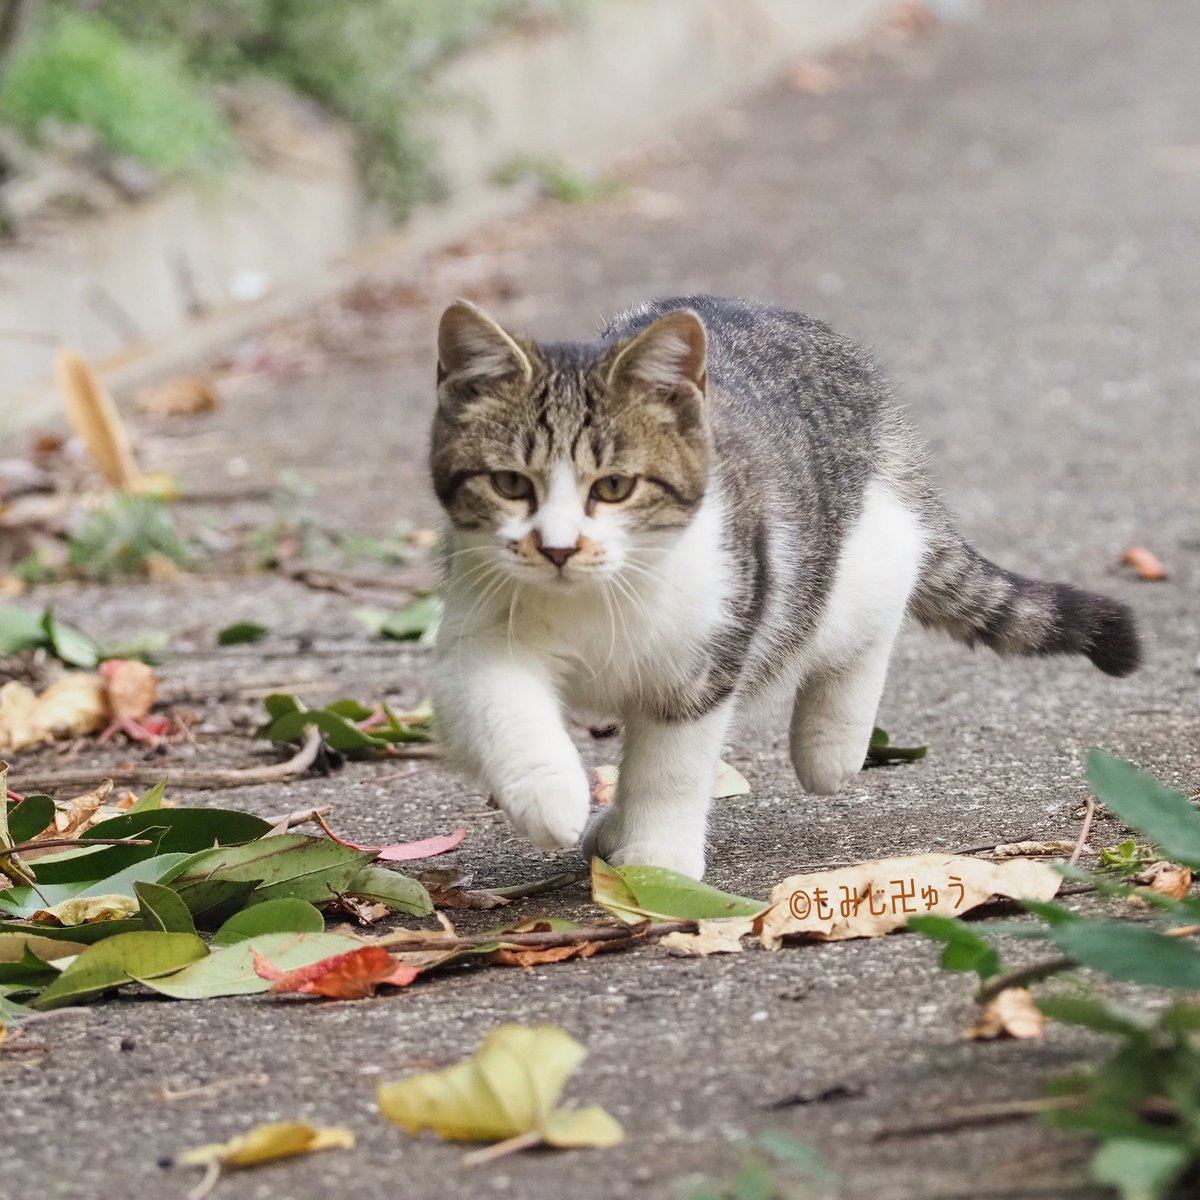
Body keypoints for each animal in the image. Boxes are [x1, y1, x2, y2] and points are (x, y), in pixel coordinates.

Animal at [427, 297, 1137, 883]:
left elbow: (672, 767)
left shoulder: (708, 655)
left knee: (889, 580)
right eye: (511, 484)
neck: (595, 602)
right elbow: (503, 703)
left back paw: (831, 744)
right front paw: (549, 795)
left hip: (828, 569)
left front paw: (657, 861)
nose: (557, 548)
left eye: (614, 487)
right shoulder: (476, 630)